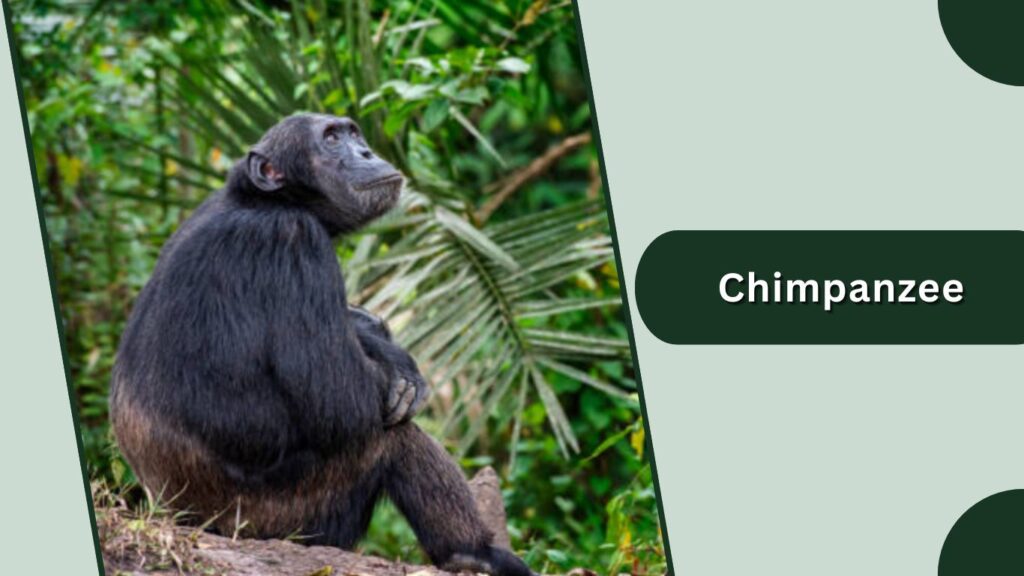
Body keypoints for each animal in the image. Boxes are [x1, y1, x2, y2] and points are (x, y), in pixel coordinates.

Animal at [109, 113, 534, 576]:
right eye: (331, 139)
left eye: (352, 133)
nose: (365, 151)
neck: (268, 202)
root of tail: (179, 518)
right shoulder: (294, 241)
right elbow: (338, 398)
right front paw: (391, 363)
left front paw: (376, 335)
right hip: (287, 519)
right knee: (389, 436)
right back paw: (471, 552)